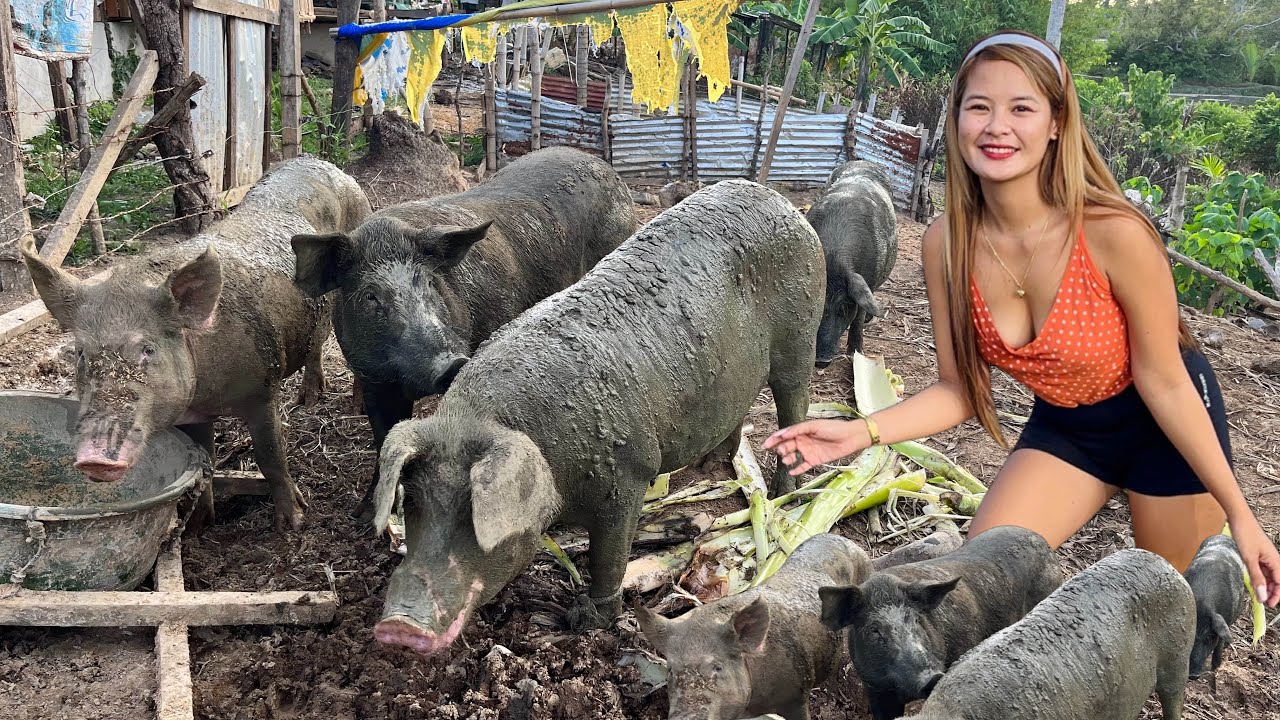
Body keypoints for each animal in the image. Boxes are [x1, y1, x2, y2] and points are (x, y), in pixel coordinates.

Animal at [21, 156, 372, 531]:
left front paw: (292, 524)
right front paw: (198, 526)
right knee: (314, 345)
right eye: (82, 354)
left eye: (148, 350)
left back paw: (354, 408)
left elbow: (270, 456)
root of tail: (323, 163)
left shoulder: (262, 389)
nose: (94, 460)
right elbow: (205, 463)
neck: (205, 394)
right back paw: (307, 400)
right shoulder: (192, 417)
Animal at [290, 145, 638, 518]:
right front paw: (365, 515)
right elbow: (384, 439)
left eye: (431, 282)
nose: (452, 363)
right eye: (371, 296)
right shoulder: (373, 379)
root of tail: (604, 167)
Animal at [366, 178, 825, 657]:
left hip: (801, 336)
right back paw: (708, 466)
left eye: (474, 513)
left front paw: (585, 621)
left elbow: (609, 557)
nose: (398, 625)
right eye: (412, 502)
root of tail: (780, 200)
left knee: (794, 406)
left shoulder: (628, 474)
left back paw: (784, 494)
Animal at [804, 160, 898, 367]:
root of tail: (865, 161)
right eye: (817, 307)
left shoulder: (868, 279)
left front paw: (856, 353)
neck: (833, 256)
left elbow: (857, 318)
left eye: (844, 306)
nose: (821, 360)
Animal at [1183, 534, 1250, 681]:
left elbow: (1219, 644)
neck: (1202, 601)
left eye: (1209, 637)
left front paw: (1216, 668)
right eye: (1190, 637)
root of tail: (1223, 535)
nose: (1193, 675)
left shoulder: (1225, 619)